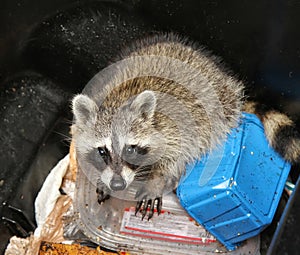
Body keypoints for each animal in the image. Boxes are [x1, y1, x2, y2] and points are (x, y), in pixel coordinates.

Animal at [71, 33, 300, 219]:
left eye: (130, 149)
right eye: (102, 151)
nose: (118, 185)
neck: (118, 100)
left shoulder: (177, 127)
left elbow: (175, 156)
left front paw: (156, 181)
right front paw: (102, 178)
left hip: (218, 109)